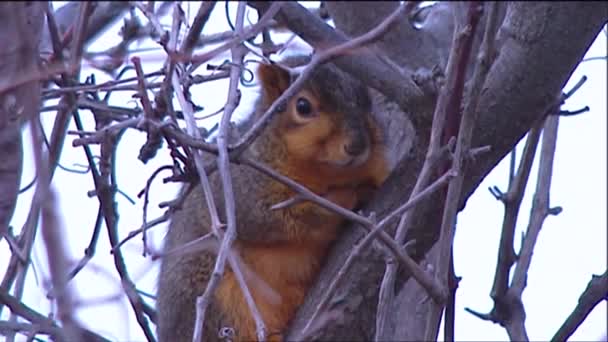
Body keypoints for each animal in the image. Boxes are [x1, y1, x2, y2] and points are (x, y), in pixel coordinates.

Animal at [156, 57, 390, 340]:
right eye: (302, 106)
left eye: (367, 98)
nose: (357, 145)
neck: (327, 170)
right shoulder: (239, 191)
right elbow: (283, 220)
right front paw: (348, 195)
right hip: (219, 298)